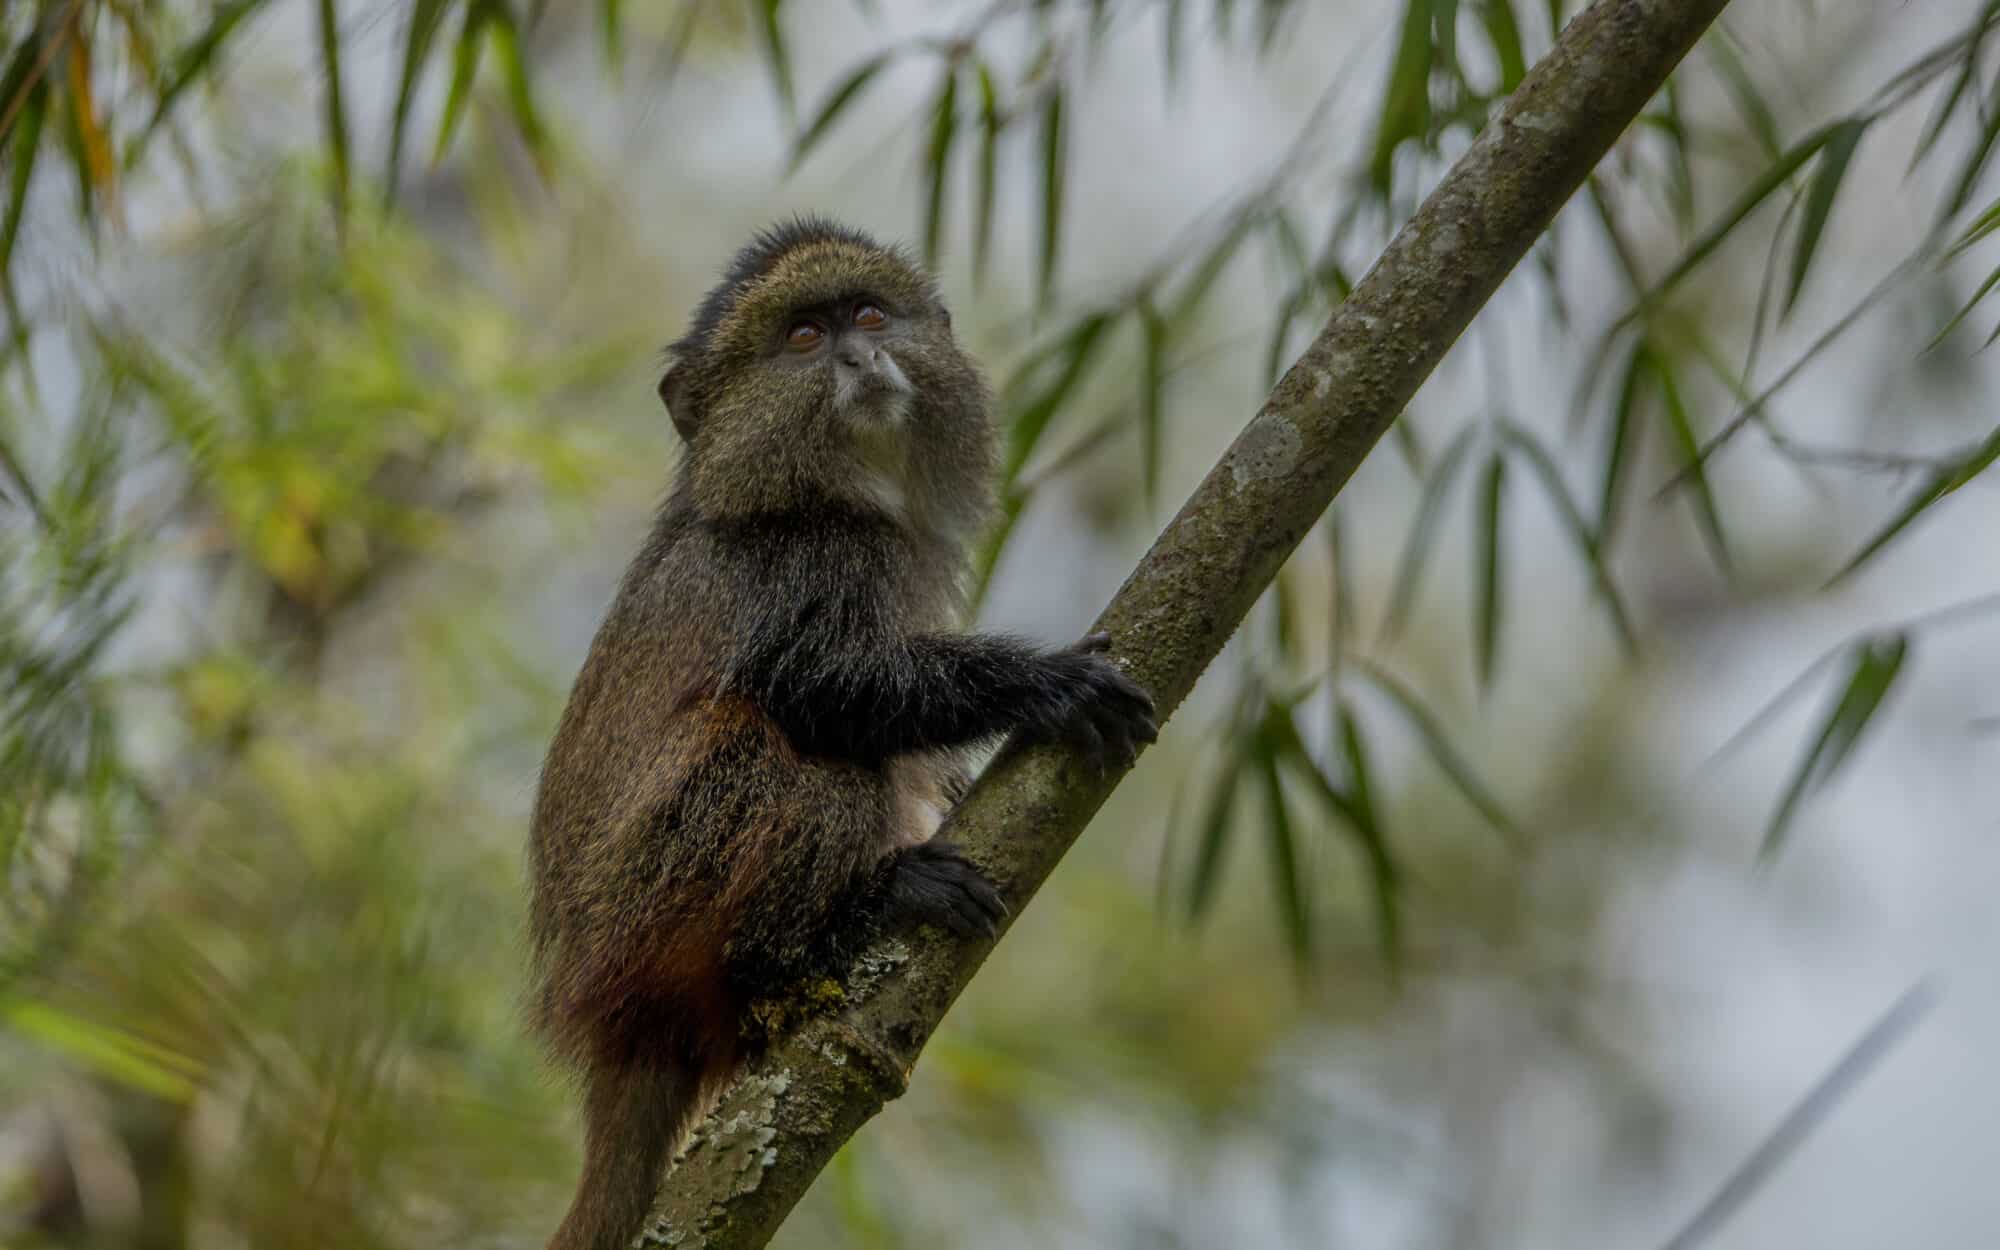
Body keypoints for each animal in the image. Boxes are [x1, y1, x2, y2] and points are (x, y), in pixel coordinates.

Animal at [527, 217, 1158, 1250]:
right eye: (802, 339)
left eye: (866, 317)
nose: (860, 358)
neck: (830, 491)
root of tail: (610, 1026)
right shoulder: (818, 561)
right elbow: (819, 688)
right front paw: (1047, 684)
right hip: (643, 906)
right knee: (784, 752)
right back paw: (829, 929)